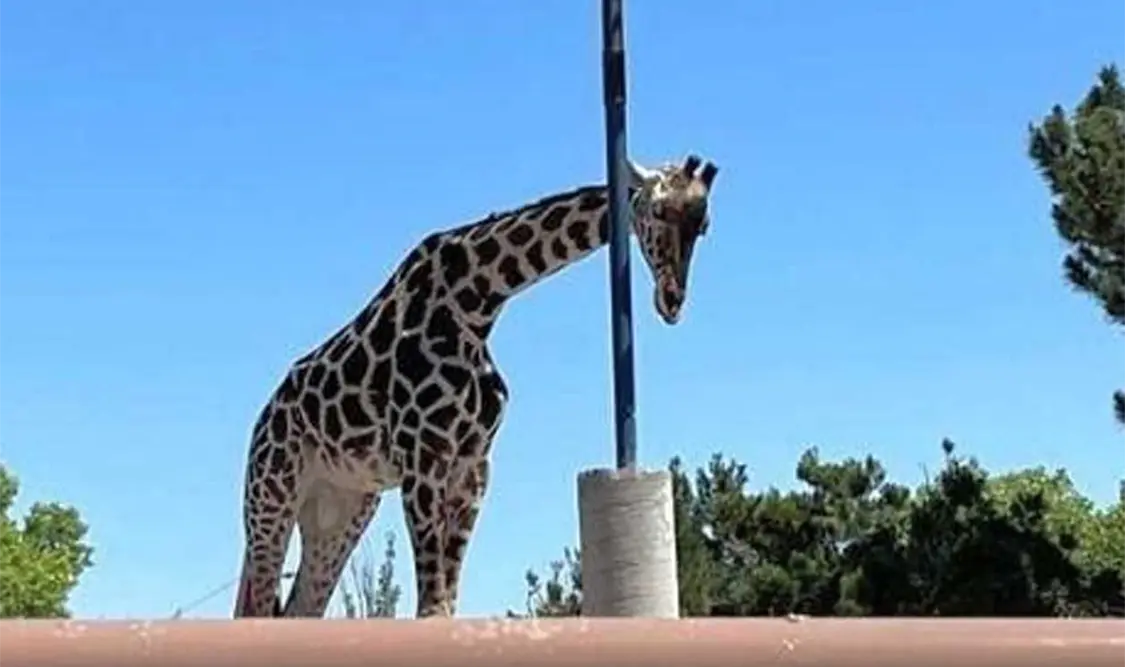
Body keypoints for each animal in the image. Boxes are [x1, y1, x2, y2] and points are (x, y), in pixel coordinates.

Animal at [233, 154, 720, 619]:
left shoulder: (473, 463)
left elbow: (447, 603)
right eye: (658, 211)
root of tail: (263, 418)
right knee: (258, 604)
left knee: (300, 609)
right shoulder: (422, 456)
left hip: (341, 508)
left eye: (704, 224)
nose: (672, 302)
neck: (476, 301)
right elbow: (431, 606)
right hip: (271, 494)